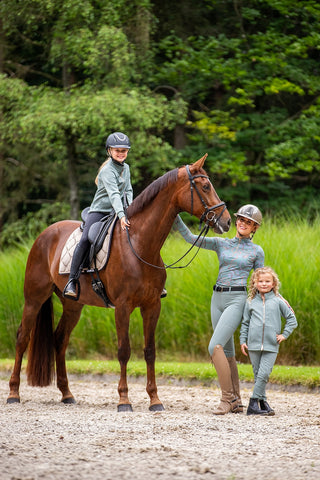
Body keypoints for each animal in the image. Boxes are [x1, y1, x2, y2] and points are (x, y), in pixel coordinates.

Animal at [7, 156, 230, 410]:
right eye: (205, 187)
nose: (226, 221)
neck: (139, 244)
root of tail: (44, 235)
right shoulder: (122, 307)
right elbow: (124, 351)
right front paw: (124, 399)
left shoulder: (152, 306)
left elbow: (149, 351)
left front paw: (155, 399)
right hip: (34, 299)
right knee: (22, 338)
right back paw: (13, 393)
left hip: (73, 305)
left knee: (60, 340)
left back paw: (67, 394)